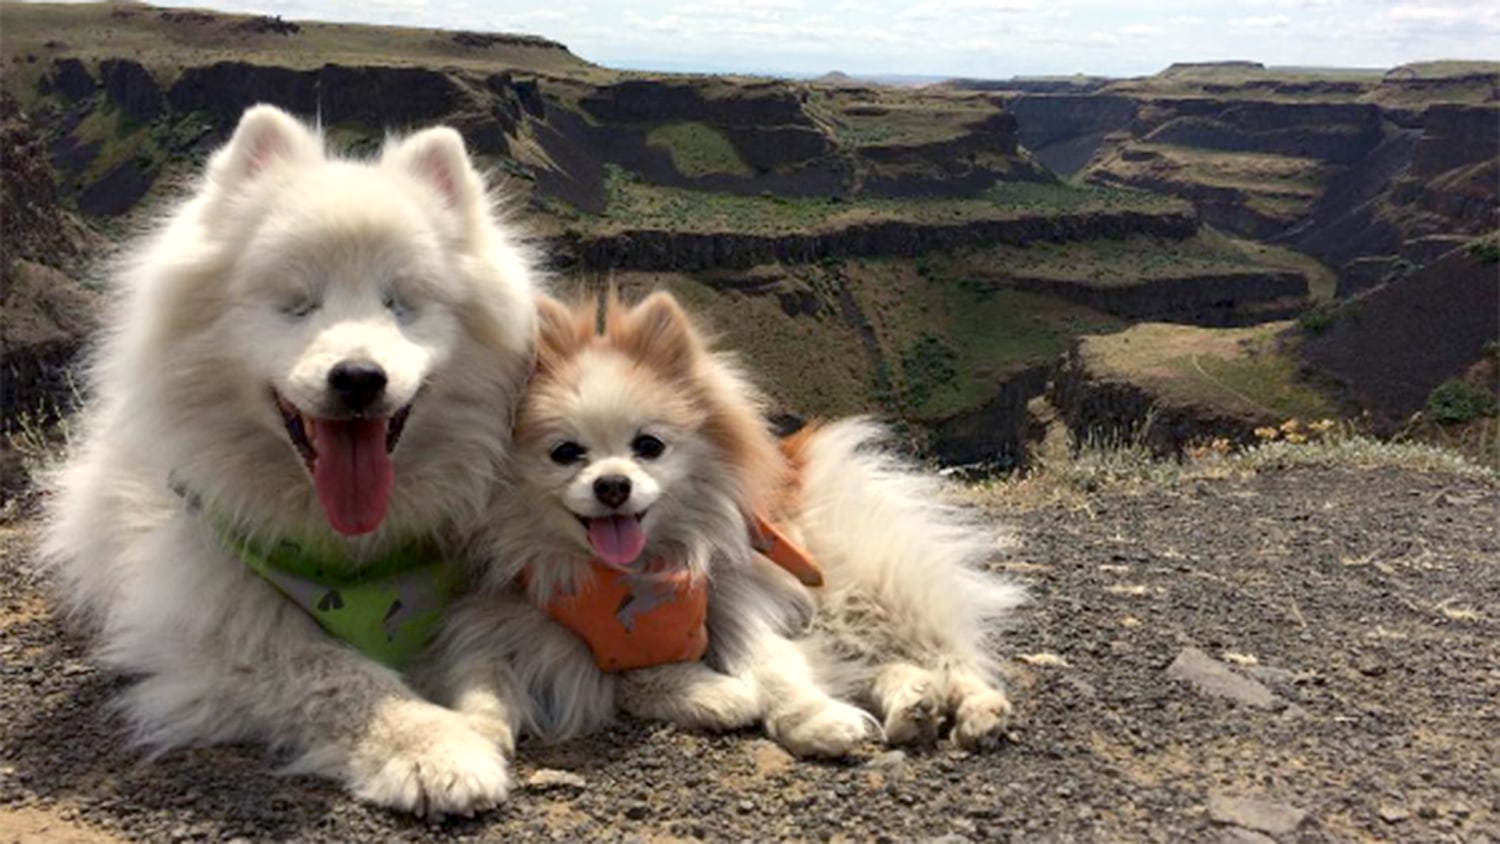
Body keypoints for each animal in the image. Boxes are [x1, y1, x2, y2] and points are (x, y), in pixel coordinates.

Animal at [39, 102, 540, 815]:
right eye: (296, 303)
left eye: (401, 303)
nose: (358, 377)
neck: (353, 558)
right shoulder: (211, 626)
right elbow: (338, 674)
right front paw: (435, 748)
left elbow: (485, 649)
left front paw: (482, 714)